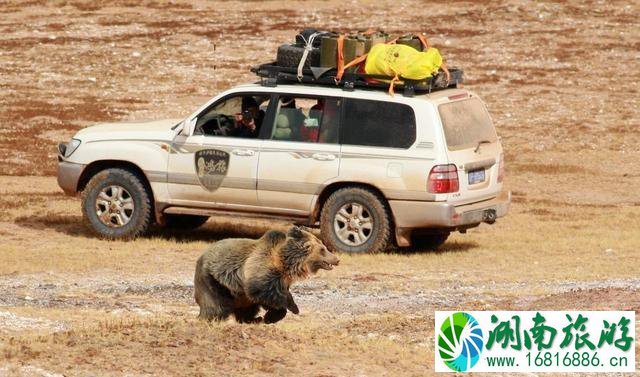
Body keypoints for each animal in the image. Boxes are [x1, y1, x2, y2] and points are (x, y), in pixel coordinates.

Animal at [194, 225, 340, 322]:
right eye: (323, 249)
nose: (337, 259)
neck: (285, 263)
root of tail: (201, 257)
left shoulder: (282, 280)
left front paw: (271, 316)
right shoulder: (263, 270)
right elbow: (262, 291)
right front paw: (291, 308)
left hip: (236, 293)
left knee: (246, 308)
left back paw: (253, 319)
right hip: (213, 280)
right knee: (216, 305)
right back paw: (210, 318)